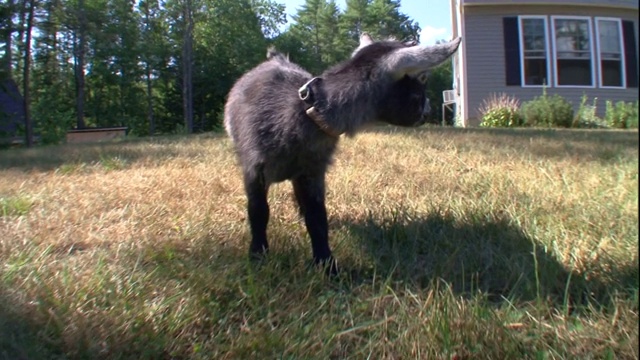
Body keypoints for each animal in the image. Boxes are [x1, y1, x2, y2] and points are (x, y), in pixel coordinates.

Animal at [225, 33, 460, 272]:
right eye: (422, 78)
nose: (428, 110)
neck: (301, 114)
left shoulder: (312, 171)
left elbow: (317, 217)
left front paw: (326, 265)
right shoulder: (254, 170)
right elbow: (258, 211)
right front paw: (257, 255)